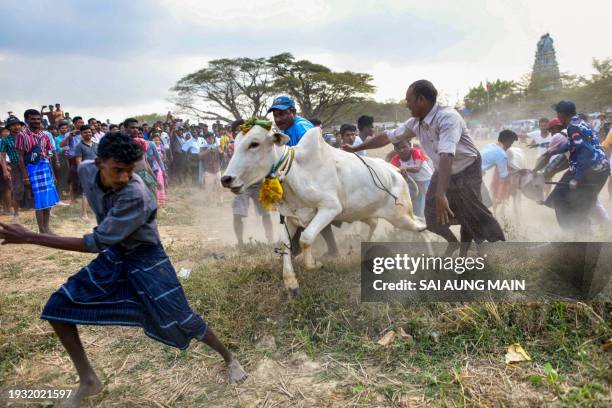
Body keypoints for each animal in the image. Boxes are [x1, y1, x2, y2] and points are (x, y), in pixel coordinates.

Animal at [220, 124, 426, 296]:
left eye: (254, 143)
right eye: (235, 143)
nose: (226, 179)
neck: (296, 172)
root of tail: (397, 171)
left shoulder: (330, 208)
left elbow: (306, 238)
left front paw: (314, 264)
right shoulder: (291, 218)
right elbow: (285, 245)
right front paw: (291, 283)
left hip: (400, 216)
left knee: (422, 226)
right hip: (369, 214)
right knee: (381, 224)